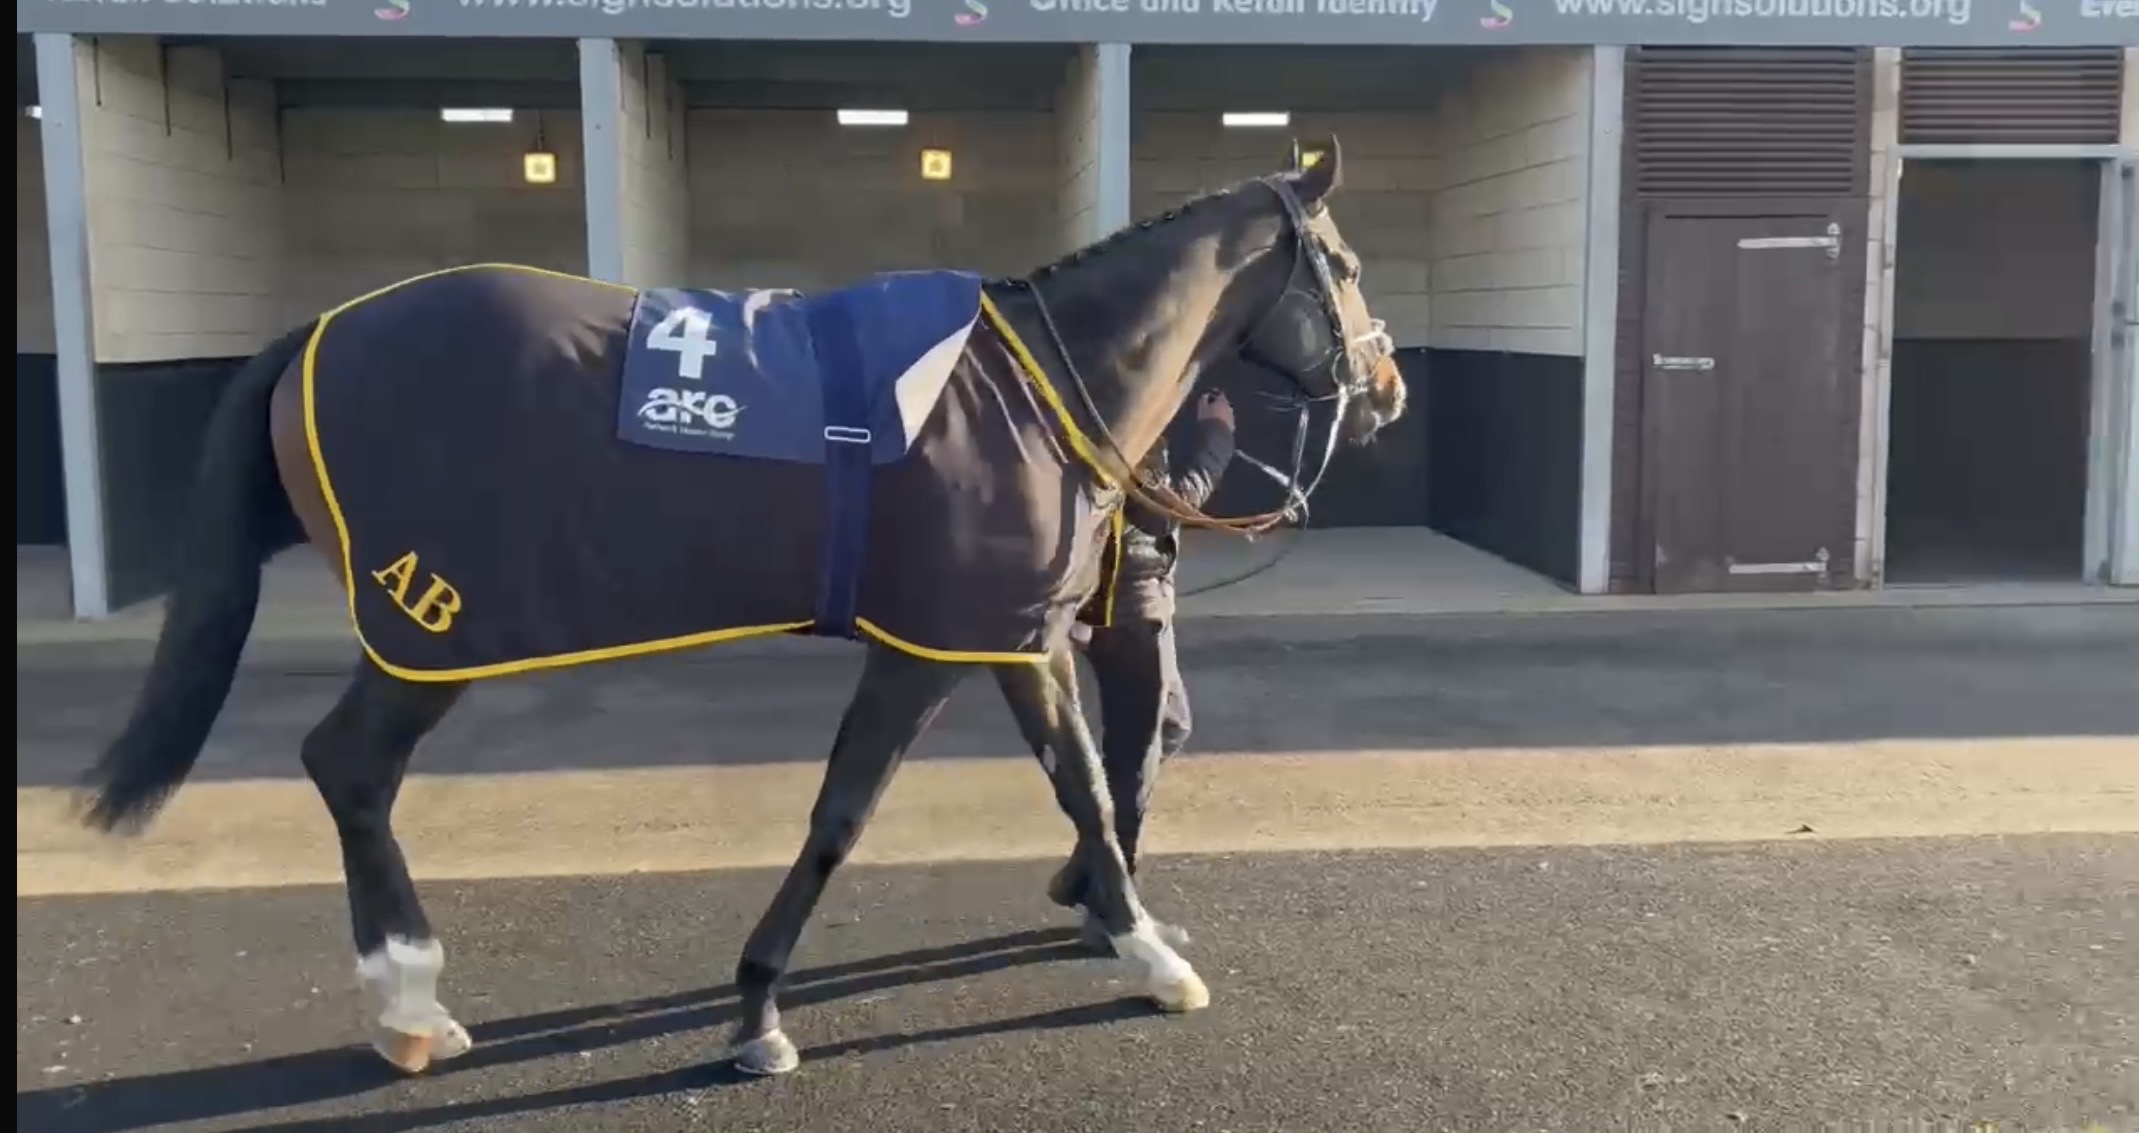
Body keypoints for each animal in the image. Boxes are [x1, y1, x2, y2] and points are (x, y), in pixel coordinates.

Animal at [73, 138, 1407, 1079]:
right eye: (1342, 267)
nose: (1389, 384)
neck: (1025, 387)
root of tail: (317, 331)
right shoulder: (950, 642)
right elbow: (877, 811)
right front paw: (1149, 956)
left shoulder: (993, 638)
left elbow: (1028, 783)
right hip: (431, 628)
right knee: (349, 764)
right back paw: (409, 997)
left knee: (348, 767)